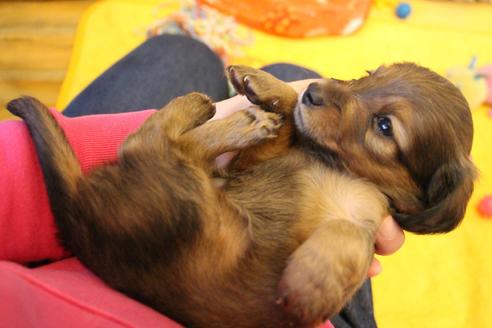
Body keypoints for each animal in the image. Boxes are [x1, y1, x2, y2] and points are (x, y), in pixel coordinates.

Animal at [7, 62, 476, 326]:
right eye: (366, 76)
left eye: (384, 126)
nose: (312, 91)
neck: (329, 163)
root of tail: (77, 217)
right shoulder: (246, 166)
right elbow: (286, 121)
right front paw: (267, 87)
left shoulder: (365, 219)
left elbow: (350, 238)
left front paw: (308, 281)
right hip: (196, 195)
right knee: (157, 142)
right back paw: (227, 114)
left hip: (195, 211)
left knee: (145, 141)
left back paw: (214, 112)